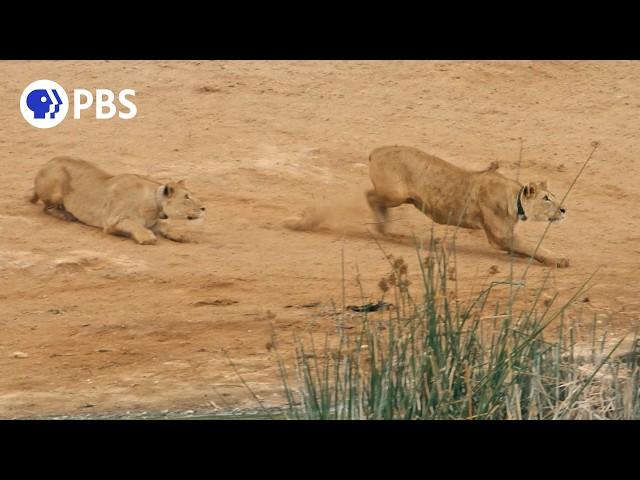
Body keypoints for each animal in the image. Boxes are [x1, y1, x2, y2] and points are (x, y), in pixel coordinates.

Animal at [30, 157, 205, 244]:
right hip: (57, 182)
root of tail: (45, 164)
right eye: (187, 196)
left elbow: (165, 225)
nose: (204, 208)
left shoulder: (153, 221)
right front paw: (146, 237)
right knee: (47, 208)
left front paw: (180, 234)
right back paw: (67, 215)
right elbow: (132, 224)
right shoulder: (112, 222)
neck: (155, 206)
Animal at [364, 144, 568, 268]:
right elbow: (532, 246)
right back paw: (382, 228)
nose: (564, 210)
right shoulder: (500, 236)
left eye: (553, 196)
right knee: (370, 196)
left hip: (402, 197)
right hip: (395, 194)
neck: (514, 199)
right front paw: (559, 259)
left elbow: (524, 248)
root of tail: (377, 150)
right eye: (546, 198)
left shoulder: (505, 236)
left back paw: (387, 230)